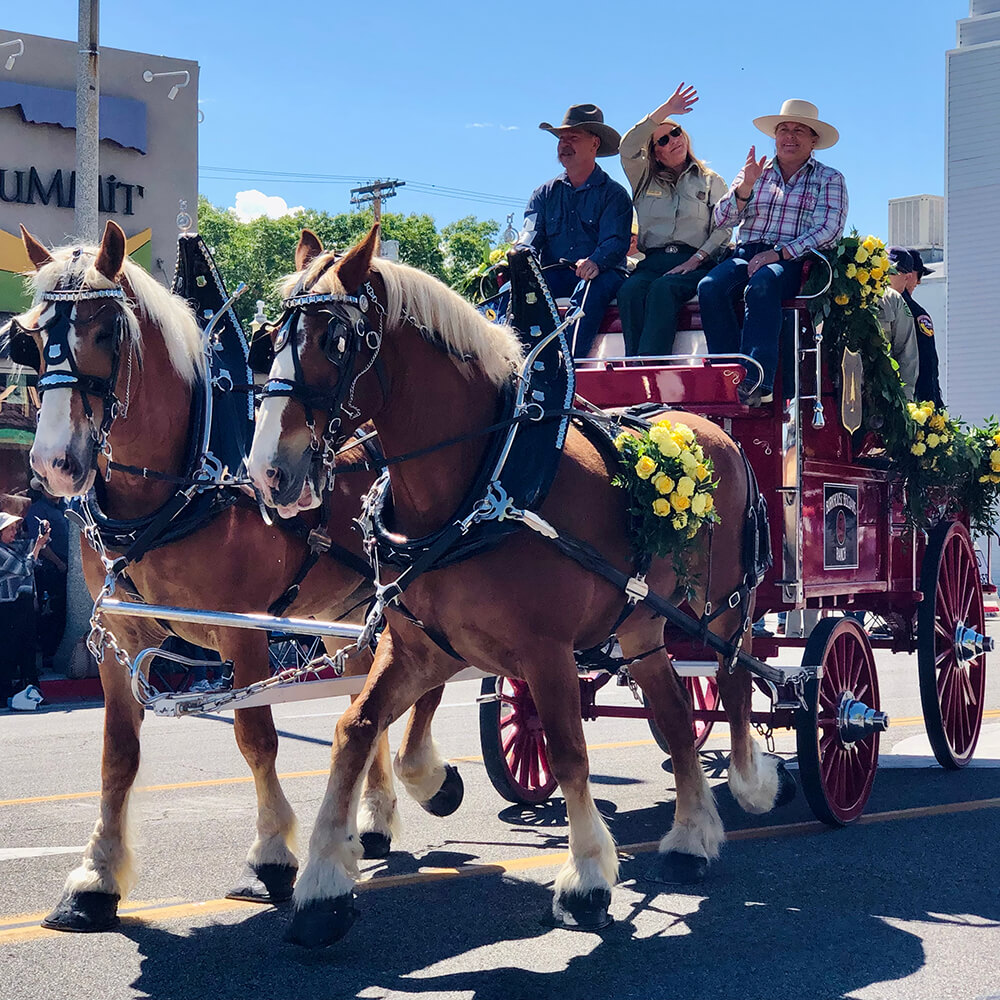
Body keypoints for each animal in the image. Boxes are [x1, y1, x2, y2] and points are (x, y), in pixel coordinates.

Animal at [12, 223, 458, 932]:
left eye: (106, 330)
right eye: (31, 336)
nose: (53, 463)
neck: (178, 491)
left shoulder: (244, 633)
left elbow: (256, 739)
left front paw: (271, 856)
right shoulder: (119, 640)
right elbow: (117, 755)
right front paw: (95, 879)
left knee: (431, 685)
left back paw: (433, 781)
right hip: (339, 616)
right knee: (375, 698)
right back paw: (374, 820)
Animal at [246, 225, 792, 944]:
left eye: (336, 341)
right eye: (267, 341)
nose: (268, 472)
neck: (484, 481)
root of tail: (711, 433)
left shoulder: (546, 651)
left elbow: (567, 752)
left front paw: (586, 879)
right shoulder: (421, 648)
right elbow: (355, 729)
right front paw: (324, 884)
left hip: (722, 608)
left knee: (732, 683)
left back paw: (750, 783)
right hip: (642, 622)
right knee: (676, 718)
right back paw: (691, 838)